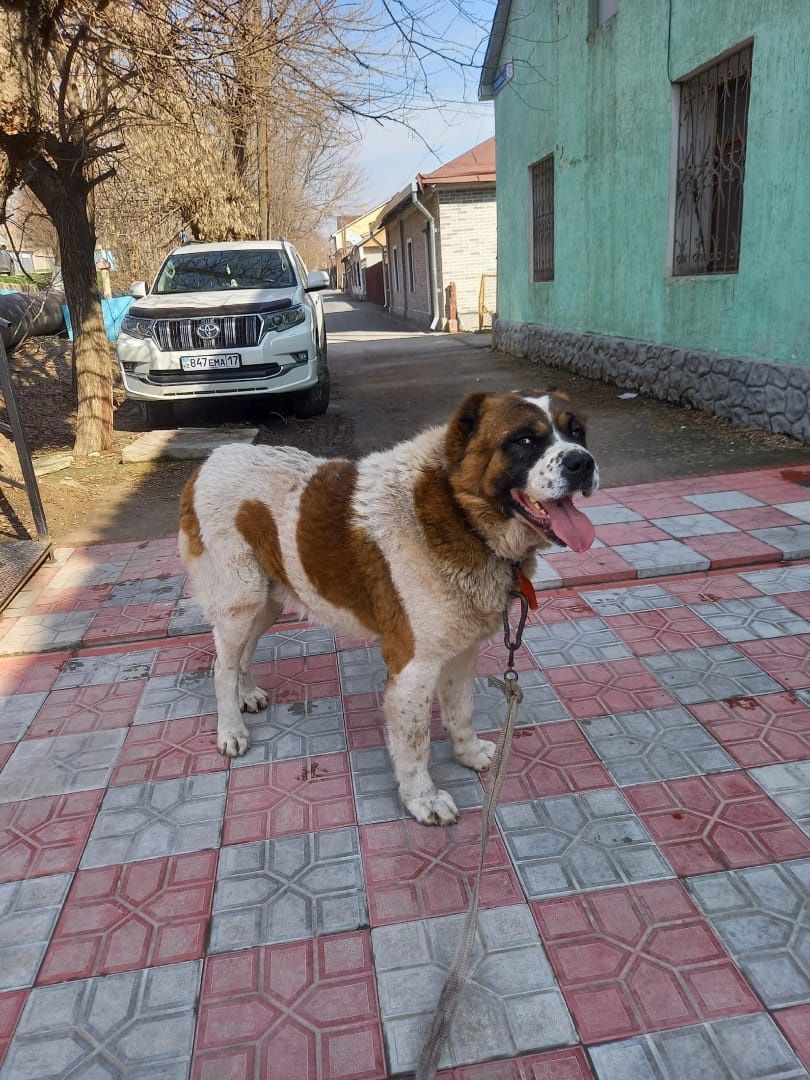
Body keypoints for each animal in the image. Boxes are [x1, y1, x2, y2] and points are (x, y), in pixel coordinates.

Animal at [180, 393, 600, 820]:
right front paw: (422, 798)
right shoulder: (412, 667)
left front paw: (468, 753)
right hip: (240, 600)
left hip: (266, 601)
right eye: (524, 440)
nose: (583, 462)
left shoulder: (461, 650)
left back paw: (246, 693)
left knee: (242, 654)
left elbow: (460, 710)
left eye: (577, 431)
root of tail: (211, 459)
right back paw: (231, 730)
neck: (460, 516)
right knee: (221, 668)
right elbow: (415, 742)